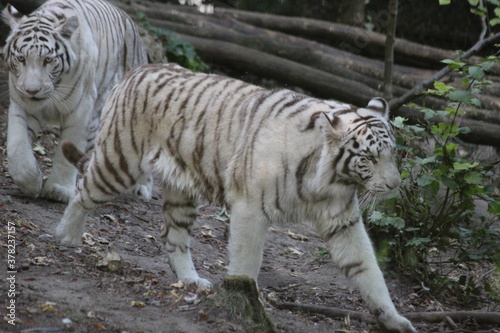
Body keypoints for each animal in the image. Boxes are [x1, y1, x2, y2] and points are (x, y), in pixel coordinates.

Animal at [2, 0, 150, 201]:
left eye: (48, 60)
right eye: (21, 58)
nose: (32, 91)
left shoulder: (80, 110)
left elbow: (67, 150)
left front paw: (58, 189)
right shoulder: (22, 104)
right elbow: (17, 146)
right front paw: (30, 181)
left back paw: (141, 188)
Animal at [56, 63, 418, 332]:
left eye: (392, 153)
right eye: (368, 158)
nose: (394, 185)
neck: (327, 179)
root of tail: (136, 69)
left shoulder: (342, 220)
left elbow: (368, 268)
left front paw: (394, 319)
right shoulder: (250, 208)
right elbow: (246, 263)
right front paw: (246, 304)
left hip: (182, 192)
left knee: (173, 238)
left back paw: (191, 281)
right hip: (119, 163)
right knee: (83, 190)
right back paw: (66, 236)